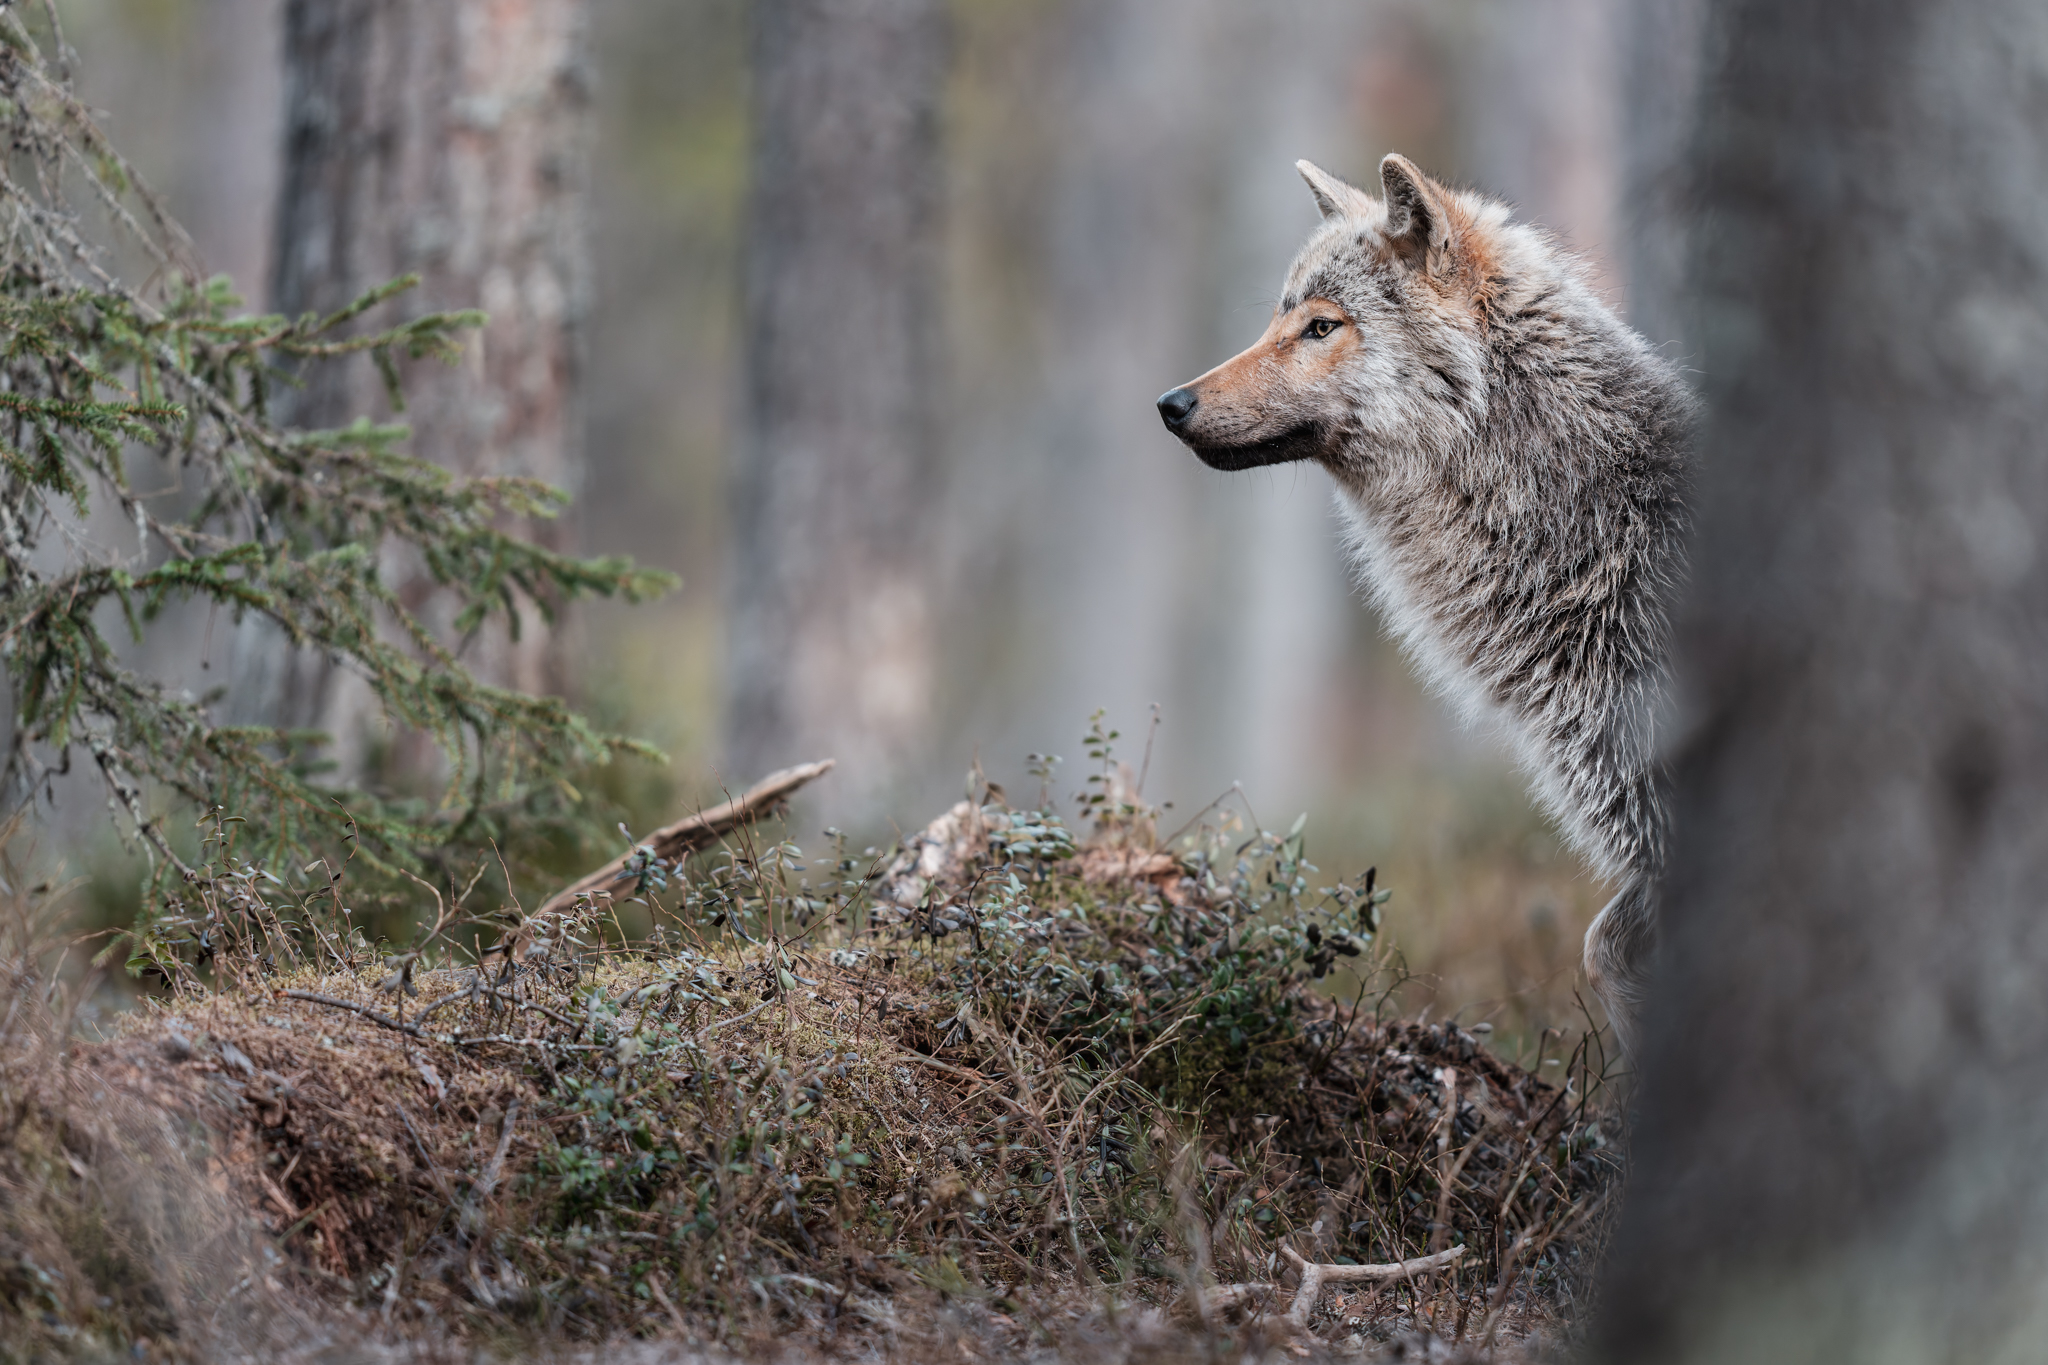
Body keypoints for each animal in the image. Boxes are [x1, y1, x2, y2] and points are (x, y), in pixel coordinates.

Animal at [1157, 155, 1694, 1053]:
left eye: (1322, 327)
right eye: (1280, 315)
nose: (1172, 404)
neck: (1600, 527)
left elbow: (1610, 950)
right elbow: (1602, 947)